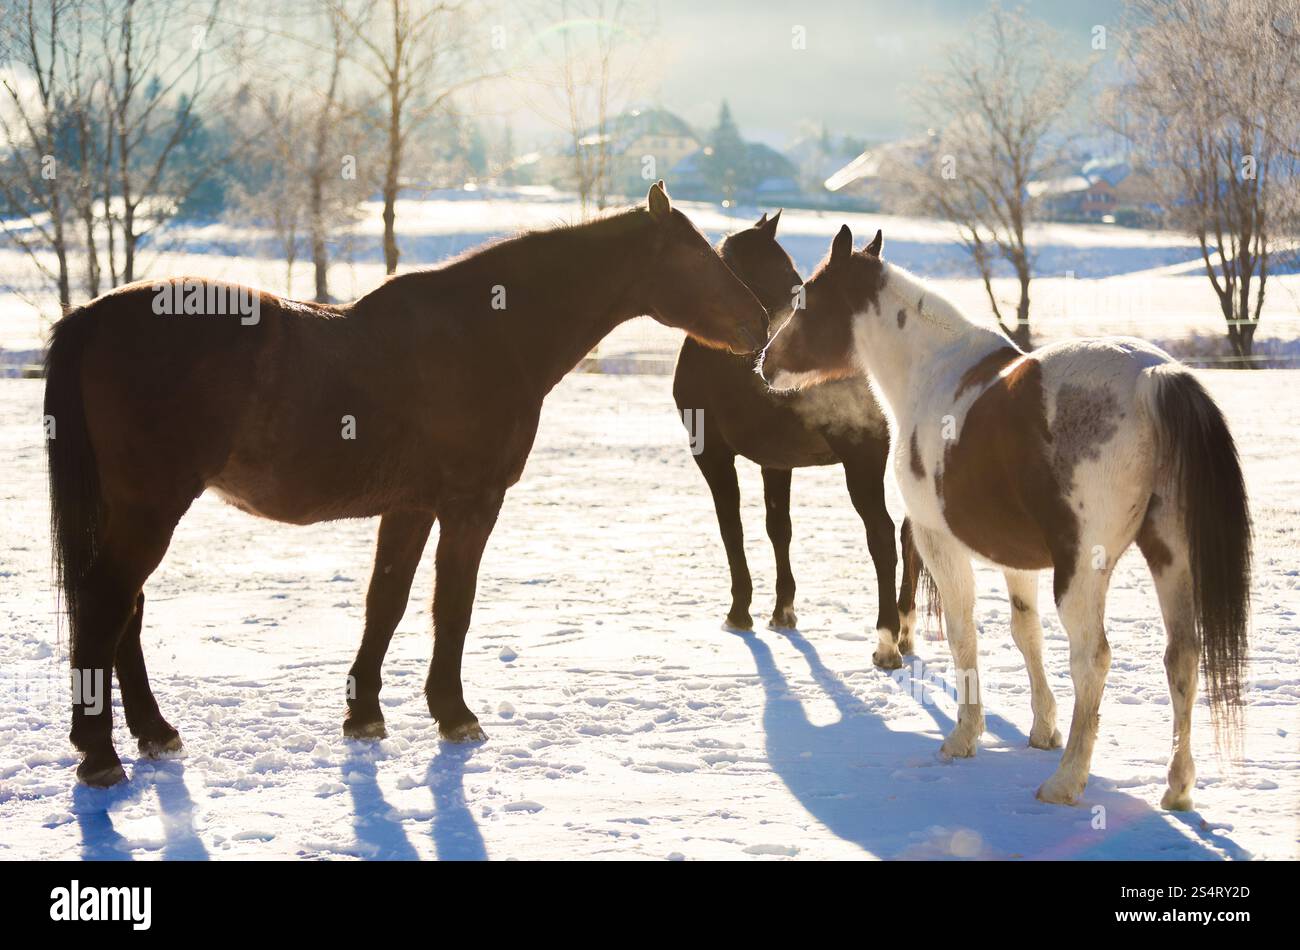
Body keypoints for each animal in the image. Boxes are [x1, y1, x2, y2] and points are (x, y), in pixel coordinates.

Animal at [44, 181, 770, 787]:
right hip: (150, 508)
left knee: (126, 611)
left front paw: (364, 714)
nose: (762, 325)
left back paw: (154, 732)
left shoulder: (411, 508)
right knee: (107, 605)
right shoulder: (470, 505)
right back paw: (101, 753)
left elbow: (386, 603)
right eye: (697, 257)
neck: (489, 331)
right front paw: (454, 714)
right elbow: (453, 606)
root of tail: (94, 315)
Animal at [672, 211, 922, 660]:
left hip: (863, 463)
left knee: (882, 535)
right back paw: (906, 631)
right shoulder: (776, 462)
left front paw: (739, 612)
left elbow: (731, 526)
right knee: (910, 533)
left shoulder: (713, 454)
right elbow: (779, 528)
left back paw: (887, 641)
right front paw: (783, 610)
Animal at [758, 225, 1250, 810]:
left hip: (1084, 571)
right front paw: (1043, 729)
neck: (932, 373)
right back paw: (1176, 787)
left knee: (1093, 660)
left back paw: (1066, 781)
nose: (764, 363)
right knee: (1183, 657)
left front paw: (965, 736)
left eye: (806, 299)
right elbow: (1025, 633)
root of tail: (1154, 375)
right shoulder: (1018, 559)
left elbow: (962, 632)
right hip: (1171, 557)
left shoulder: (939, 543)